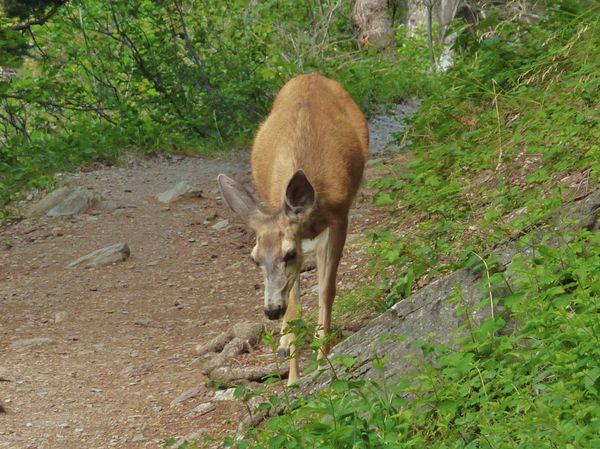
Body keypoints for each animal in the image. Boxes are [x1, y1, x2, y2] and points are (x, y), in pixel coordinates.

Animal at [216, 72, 366, 382]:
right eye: (254, 259)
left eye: (289, 254)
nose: (271, 310)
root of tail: (312, 75)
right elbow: (295, 308)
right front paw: (294, 380)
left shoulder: (340, 217)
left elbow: (326, 291)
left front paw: (322, 363)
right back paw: (284, 343)